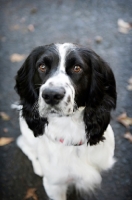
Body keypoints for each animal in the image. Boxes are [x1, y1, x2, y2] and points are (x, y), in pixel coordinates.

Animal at [14, 43, 117, 200]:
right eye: (42, 66)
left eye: (77, 68)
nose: (51, 95)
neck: (70, 130)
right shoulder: (54, 186)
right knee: (24, 145)